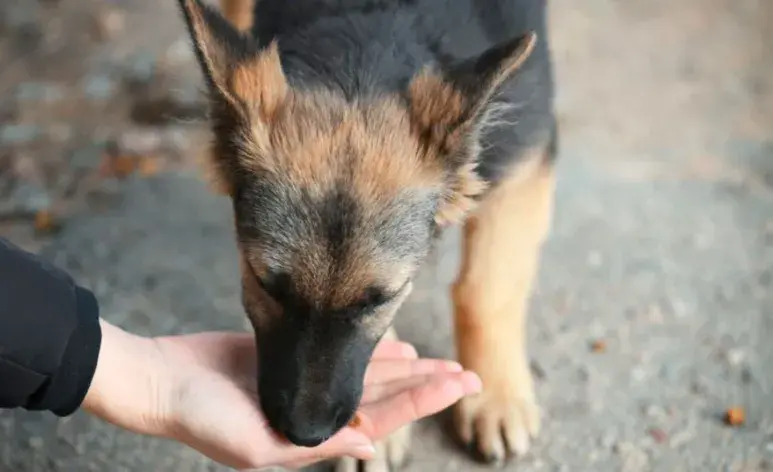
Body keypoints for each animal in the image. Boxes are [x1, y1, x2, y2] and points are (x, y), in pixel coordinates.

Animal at [175, 0, 556, 468]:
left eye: (379, 300)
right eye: (266, 286)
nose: (305, 435)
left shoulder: (525, 158)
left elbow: (486, 289)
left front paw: (494, 396)